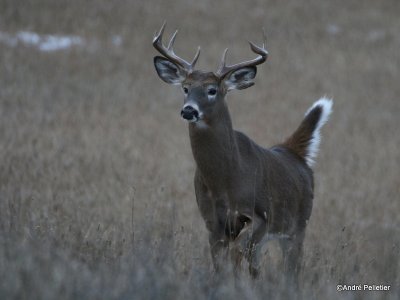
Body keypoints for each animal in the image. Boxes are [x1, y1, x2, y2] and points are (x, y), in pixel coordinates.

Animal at [152, 22, 332, 284]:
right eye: (185, 88)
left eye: (212, 90)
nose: (188, 110)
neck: (226, 180)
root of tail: (293, 152)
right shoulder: (212, 222)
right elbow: (222, 262)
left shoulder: (263, 214)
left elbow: (238, 250)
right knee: (257, 266)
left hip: (298, 225)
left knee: (291, 268)